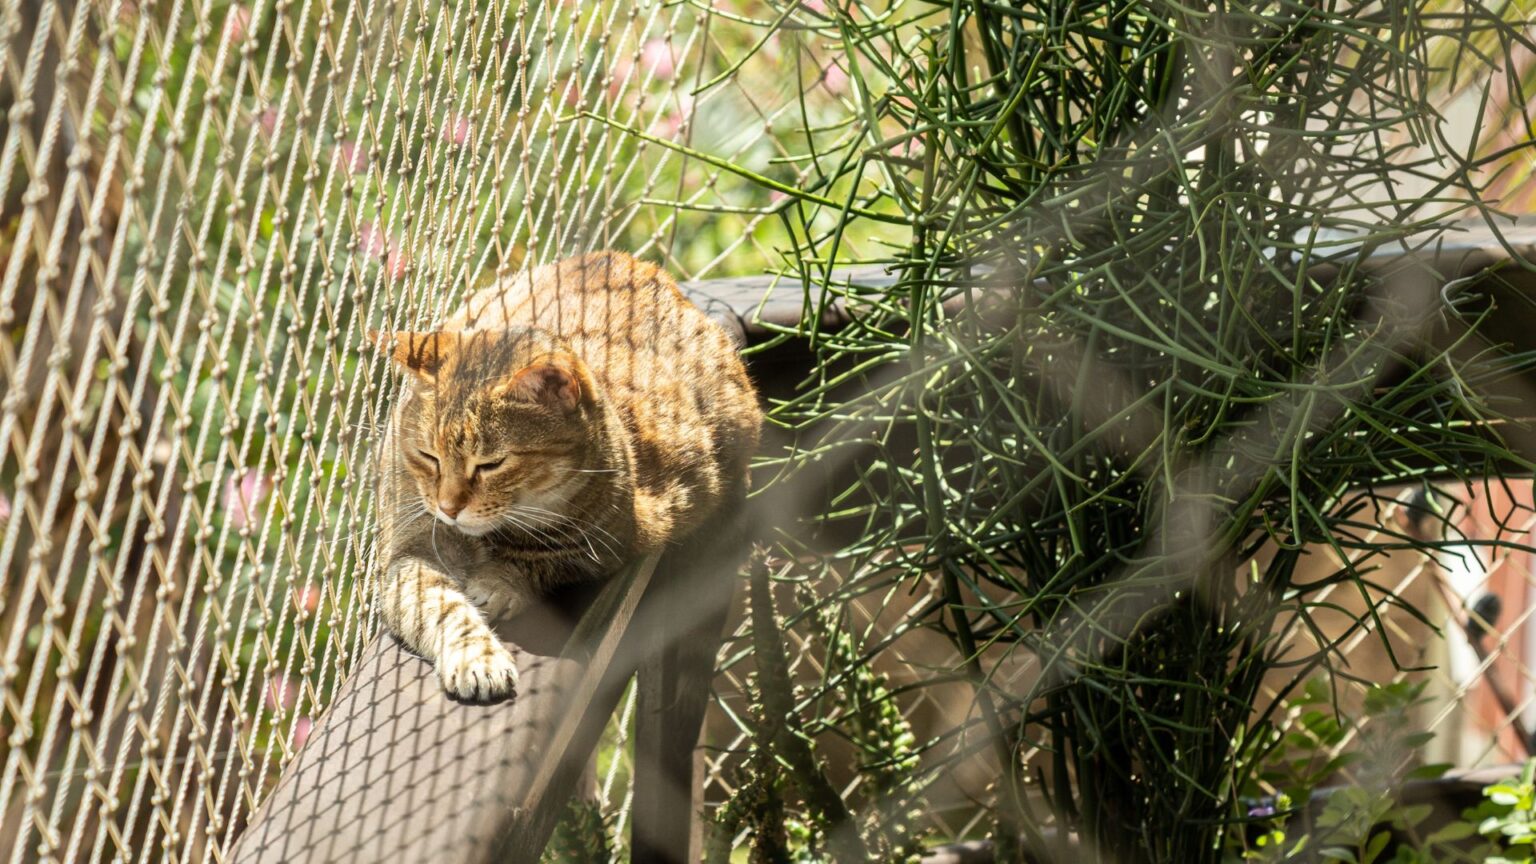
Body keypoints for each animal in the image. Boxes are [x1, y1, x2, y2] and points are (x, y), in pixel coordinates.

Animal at [371, 249, 755, 701]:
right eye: (428, 456)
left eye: (491, 464)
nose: (448, 508)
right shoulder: (409, 549)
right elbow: (439, 605)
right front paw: (475, 657)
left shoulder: (617, 537)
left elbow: (541, 560)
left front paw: (498, 582)